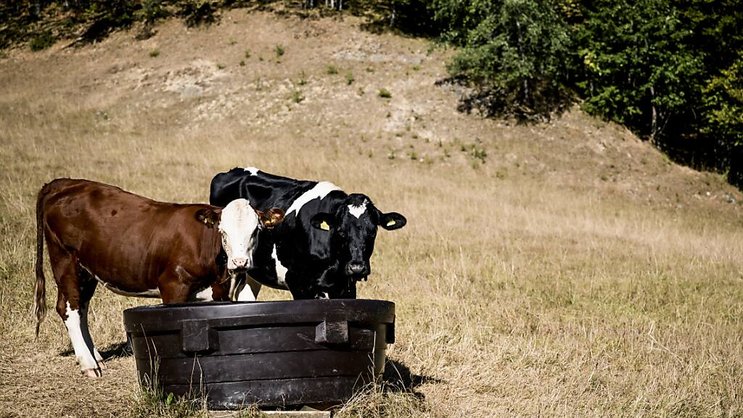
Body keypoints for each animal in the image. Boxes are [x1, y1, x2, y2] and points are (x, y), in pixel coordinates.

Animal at [34, 178, 283, 377]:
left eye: (255, 231)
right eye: (223, 231)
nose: (240, 262)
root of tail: (65, 183)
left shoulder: (221, 293)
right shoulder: (173, 287)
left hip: (86, 271)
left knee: (79, 307)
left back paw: (95, 356)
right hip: (65, 260)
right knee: (70, 308)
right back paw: (88, 364)